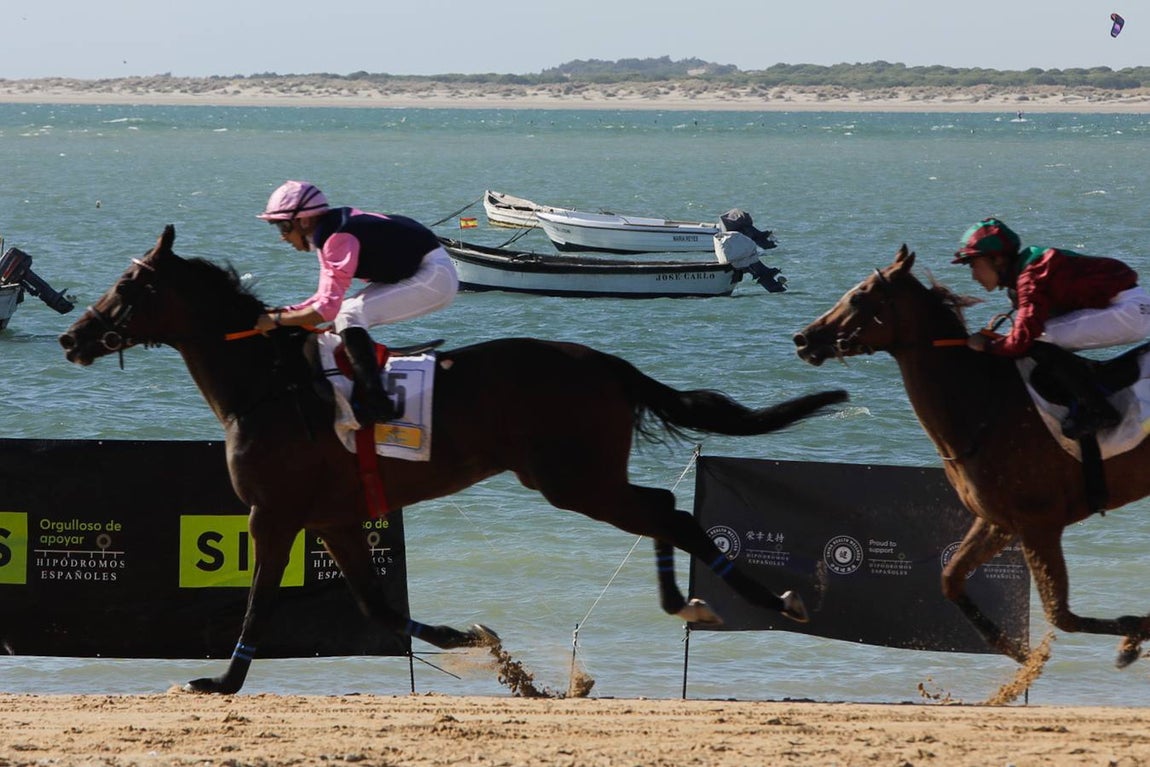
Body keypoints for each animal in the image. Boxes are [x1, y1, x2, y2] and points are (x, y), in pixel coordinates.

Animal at [59, 225, 847, 694]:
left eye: (128, 288)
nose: (73, 336)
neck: (270, 385)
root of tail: (603, 363)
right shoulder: (335, 518)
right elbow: (376, 605)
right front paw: (474, 640)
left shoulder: (273, 513)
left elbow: (260, 597)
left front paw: (221, 682)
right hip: (579, 478)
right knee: (662, 507)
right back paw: (689, 599)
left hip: (573, 480)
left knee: (668, 511)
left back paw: (766, 599)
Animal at [793, 244, 1150, 668]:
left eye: (859, 296)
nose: (803, 339)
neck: (982, 406)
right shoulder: (999, 522)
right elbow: (949, 579)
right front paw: (1011, 647)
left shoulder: (1040, 523)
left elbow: (1060, 615)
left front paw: (1133, 634)